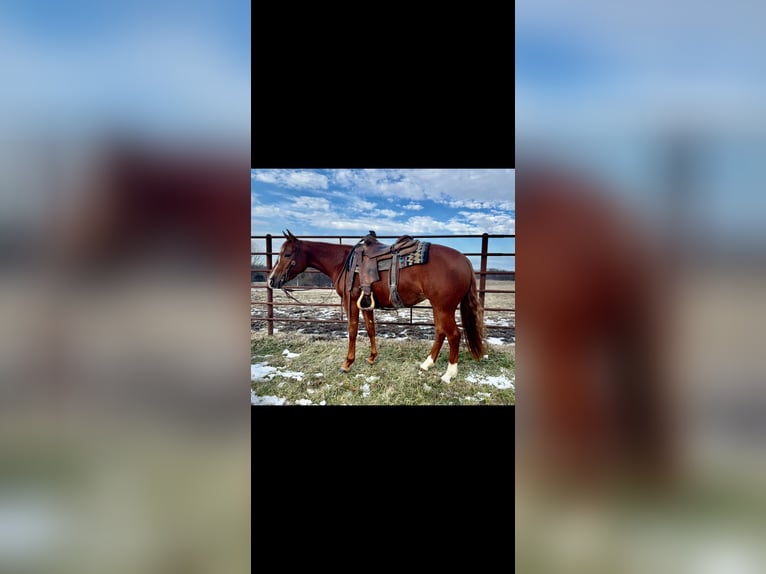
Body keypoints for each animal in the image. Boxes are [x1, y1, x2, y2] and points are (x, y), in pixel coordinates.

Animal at [270, 230, 486, 382]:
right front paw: (372, 357)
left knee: (454, 335)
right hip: (438, 307)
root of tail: (465, 260)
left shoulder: (351, 301)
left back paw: (449, 374)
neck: (343, 263)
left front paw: (347, 363)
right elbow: (371, 329)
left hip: (444, 307)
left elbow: (352, 331)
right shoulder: (366, 303)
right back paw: (427, 364)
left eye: (287, 254)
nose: (272, 280)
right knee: (441, 332)